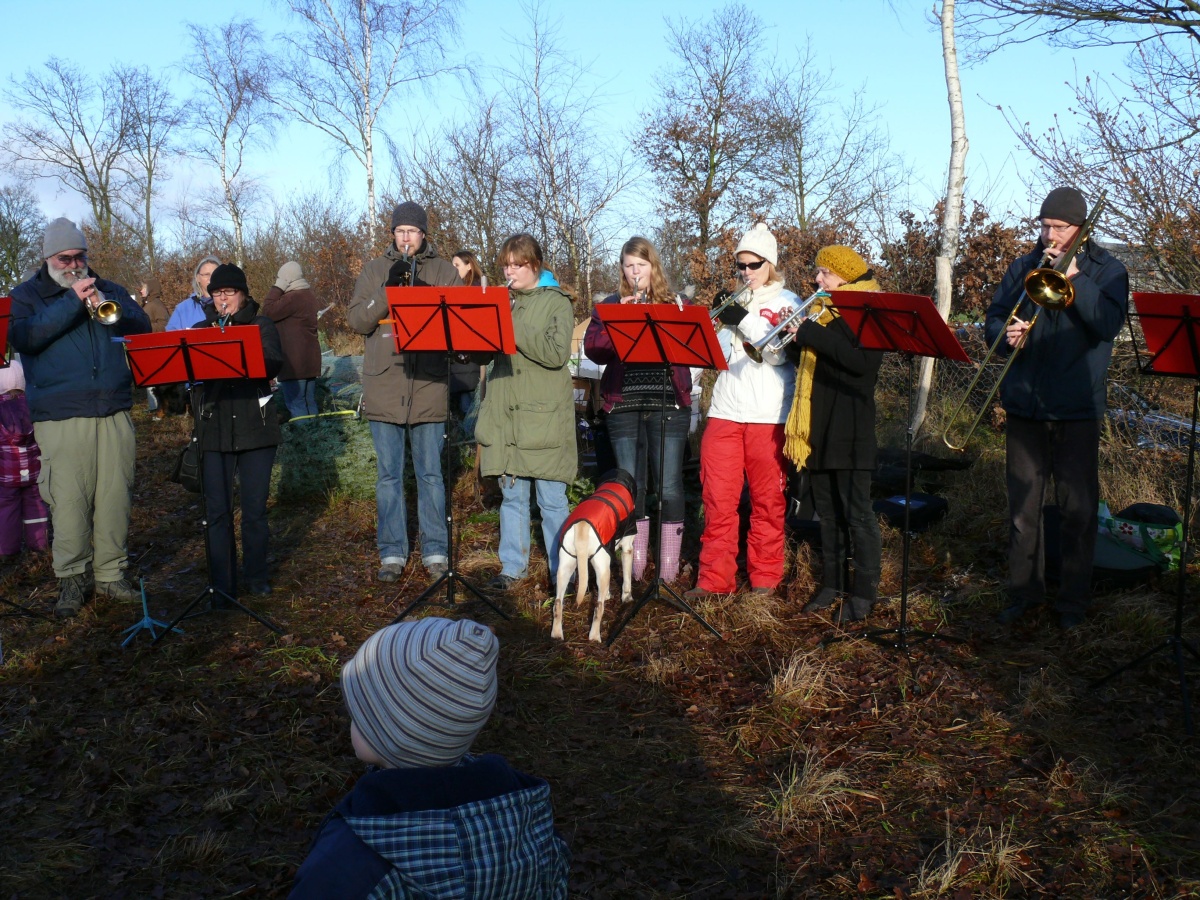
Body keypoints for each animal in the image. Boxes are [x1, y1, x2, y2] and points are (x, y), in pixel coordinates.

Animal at [552, 468, 643, 643]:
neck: (616, 481)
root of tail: (581, 526)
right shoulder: (627, 549)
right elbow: (627, 579)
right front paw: (627, 598)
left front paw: (608, 593)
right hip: (602, 568)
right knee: (598, 607)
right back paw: (594, 637)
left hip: (566, 566)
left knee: (558, 602)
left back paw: (556, 634)